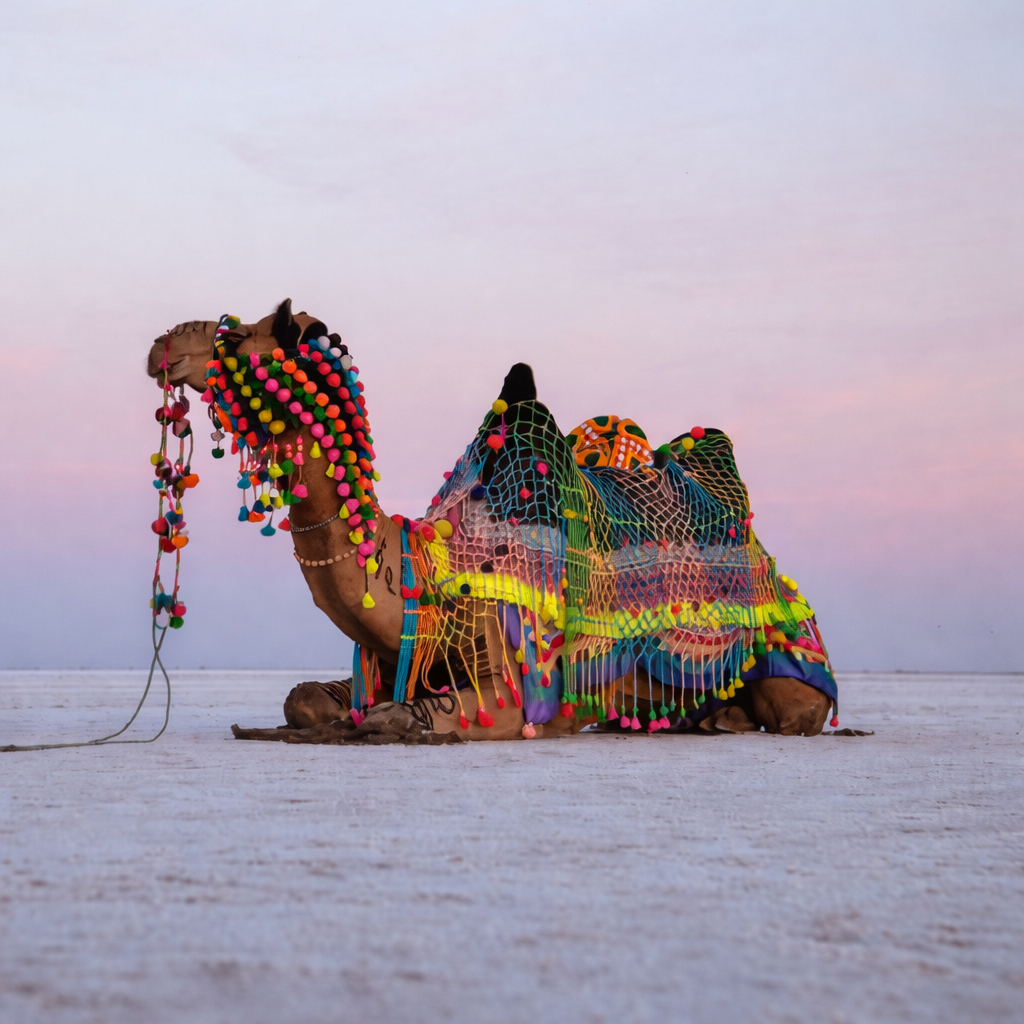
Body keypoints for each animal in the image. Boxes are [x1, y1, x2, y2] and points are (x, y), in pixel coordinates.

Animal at [147, 300, 835, 742]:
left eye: (237, 338)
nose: (161, 345)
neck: (424, 565)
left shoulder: (526, 685)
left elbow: (405, 717)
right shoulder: (392, 656)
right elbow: (306, 700)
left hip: (785, 659)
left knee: (795, 712)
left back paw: (723, 718)